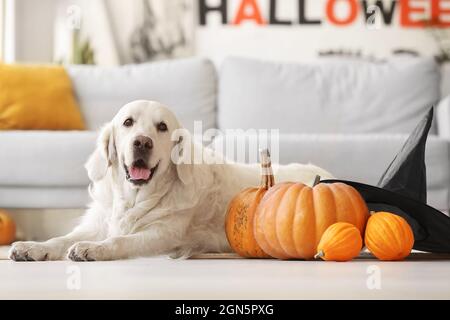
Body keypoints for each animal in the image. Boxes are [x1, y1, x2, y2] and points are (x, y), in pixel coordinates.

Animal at [7, 101, 334, 262]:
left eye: (162, 127)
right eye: (127, 122)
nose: (142, 142)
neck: (133, 198)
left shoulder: (164, 234)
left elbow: (119, 240)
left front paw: (93, 249)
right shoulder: (98, 222)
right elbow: (61, 239)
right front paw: (32, 247)